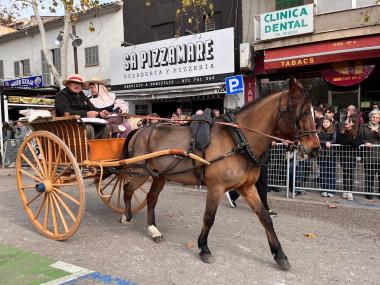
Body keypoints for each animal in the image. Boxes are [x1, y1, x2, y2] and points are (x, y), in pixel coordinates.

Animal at [120, 77, 320, 268]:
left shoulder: (247, 187)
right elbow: (209, 218)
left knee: (151, 198)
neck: (238, 140)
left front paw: (279, 254)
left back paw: (153, 229)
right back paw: (126, 216)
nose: (315, 148)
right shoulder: (215, 188)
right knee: (127, 188)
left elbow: (264, 218)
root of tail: (140, 130)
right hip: (140, 172)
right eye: (303, 112)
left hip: (159, 175)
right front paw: (204, 248)